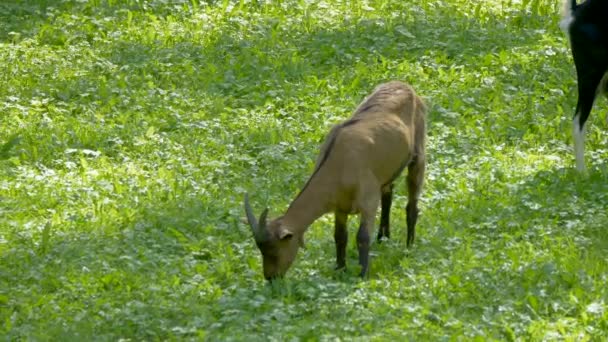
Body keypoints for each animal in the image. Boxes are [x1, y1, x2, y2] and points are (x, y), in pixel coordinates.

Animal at [243, 81, 428, 280]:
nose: (271, 278)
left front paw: (362, 274)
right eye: (261, 250)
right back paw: (383, 238)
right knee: (388, 195)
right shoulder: (340, 206)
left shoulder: (368, 199)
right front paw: (340, 268)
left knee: (412, 203)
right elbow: (339, 236)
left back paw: (409, 246)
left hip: (418, 152)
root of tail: (406, 86)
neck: (339, 163)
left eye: (274, 251)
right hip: (387, 171)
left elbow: (362, 237)